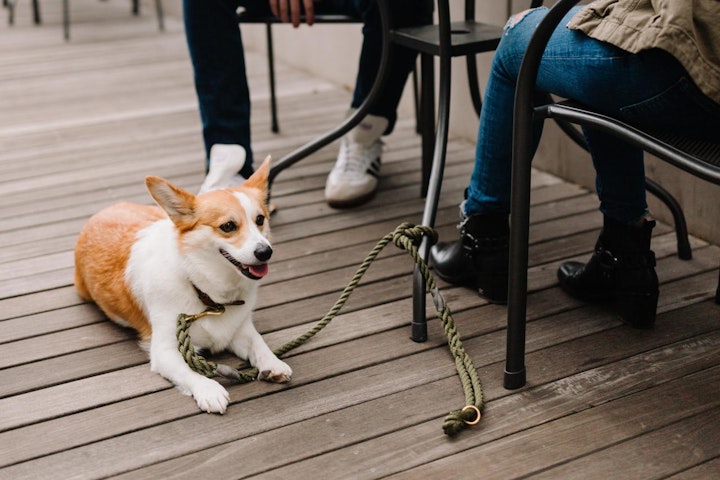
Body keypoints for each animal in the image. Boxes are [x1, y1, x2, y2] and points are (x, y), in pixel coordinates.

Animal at [71, 158, 288, 412]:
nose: (265, 252)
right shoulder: (164, 351)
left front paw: (273, 363)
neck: (206, 291)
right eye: (228, 226)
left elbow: (259, 344)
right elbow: (189, 373)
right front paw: (209, 390)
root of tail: (101, 212)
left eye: (260, 220)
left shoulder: (241, 331)